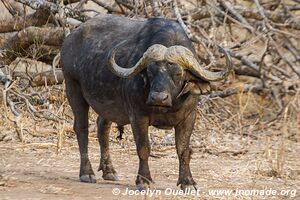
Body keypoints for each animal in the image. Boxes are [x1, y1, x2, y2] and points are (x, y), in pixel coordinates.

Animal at [59, 14, 231, 191]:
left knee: (102, 127)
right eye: (150, 72)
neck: (167, 107)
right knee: (82, 129)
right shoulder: (138, 116)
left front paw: (187, 181)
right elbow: (143, 148)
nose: (158, 97)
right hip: (73, 87)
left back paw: (109, 171)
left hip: (107, 104)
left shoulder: (188, 117)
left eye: (178, 73)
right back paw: (87, 173)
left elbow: (183, 150)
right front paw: (144, 180)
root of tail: (70, 39)